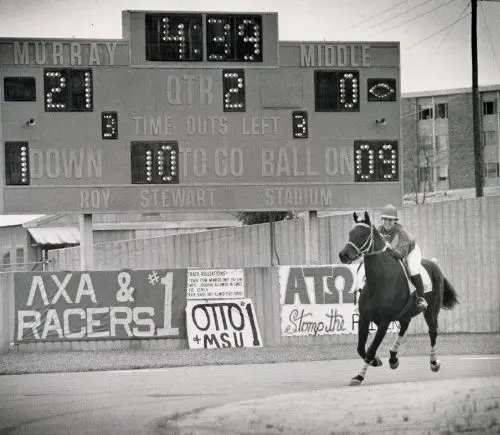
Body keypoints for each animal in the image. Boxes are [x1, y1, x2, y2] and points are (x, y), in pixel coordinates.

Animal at [338, 211, 459, 386]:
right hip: (406, 312)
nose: (344, 255)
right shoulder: (364, 318)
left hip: (431, 311)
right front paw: (375, 361)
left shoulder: (384, 322)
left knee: (433, 332)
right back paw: (393, 358)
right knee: (404, 327)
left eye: (363, 234)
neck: (380, 280)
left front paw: (360, 376)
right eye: (350, 233)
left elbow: (371, 349)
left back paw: (434, 363)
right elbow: (361, 348)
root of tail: (435, 265)